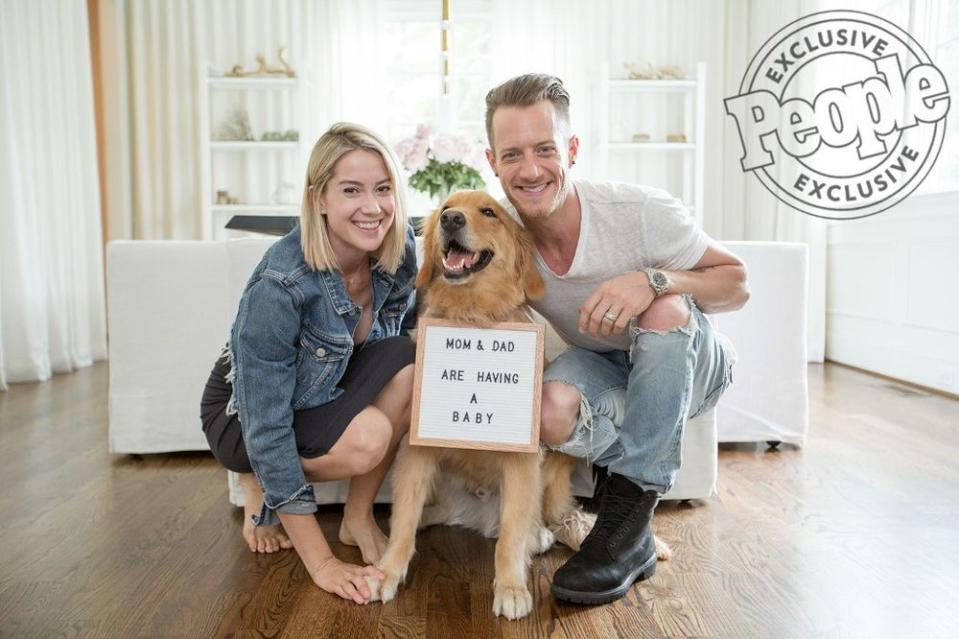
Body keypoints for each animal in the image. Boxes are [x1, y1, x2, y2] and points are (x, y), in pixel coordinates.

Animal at [364, 191, 580, 620]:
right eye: (448, 206)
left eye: (489, 212)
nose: (451, 220)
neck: (472, 315)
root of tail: (477, 517)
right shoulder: (417, 447)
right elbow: (404, 520)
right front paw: (388, 571)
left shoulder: (522, 458)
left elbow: (511, 537)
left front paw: (511, 588)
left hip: (553, 467)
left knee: (527, 524)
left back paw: (538, 535)